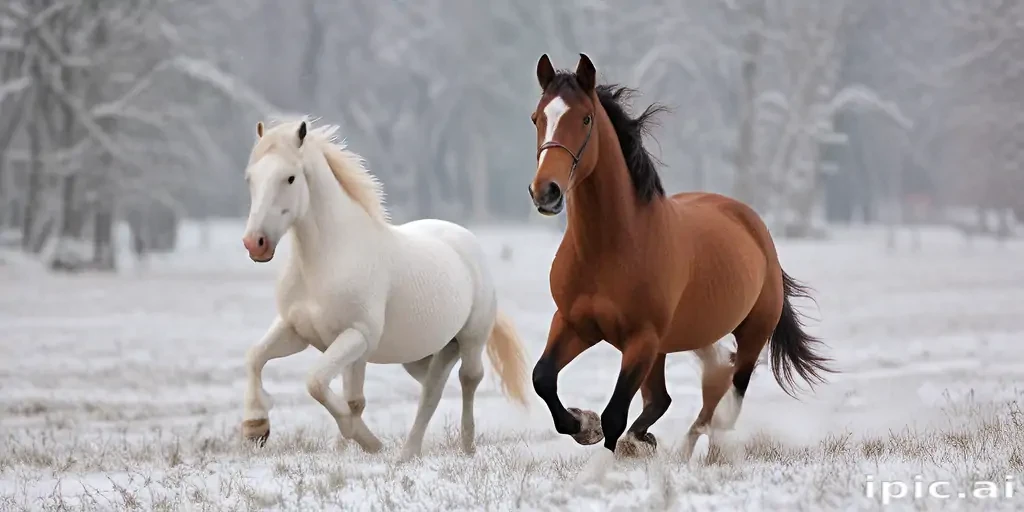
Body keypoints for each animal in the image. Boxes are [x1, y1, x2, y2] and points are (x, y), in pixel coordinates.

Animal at [238, 117, 530, 461]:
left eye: (290, 178)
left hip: (471, 339)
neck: (328, 257)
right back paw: (408, 453)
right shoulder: (296, 331)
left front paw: (366, 440)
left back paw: (466, 447)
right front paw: (255, 426)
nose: (255, 243)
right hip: (428, 351)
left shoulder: (357, 335)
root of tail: (464, 238)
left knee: (468, 380)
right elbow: (256, 357)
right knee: (432, 388)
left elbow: (317, 384)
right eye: (250, 179)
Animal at [526, 54, 835, 481]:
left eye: (585, 118)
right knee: (673, 397)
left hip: (749, 333)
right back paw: (660, 444)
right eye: (537, 117)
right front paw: (585, 425)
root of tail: (753, 226)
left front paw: (596, 470)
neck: (612, 246)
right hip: (666, 346)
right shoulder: (575, 324)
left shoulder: (642, 338)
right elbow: (543, 379)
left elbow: (616, 412)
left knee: (729, 393)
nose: (546, 192)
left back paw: (709, 450)